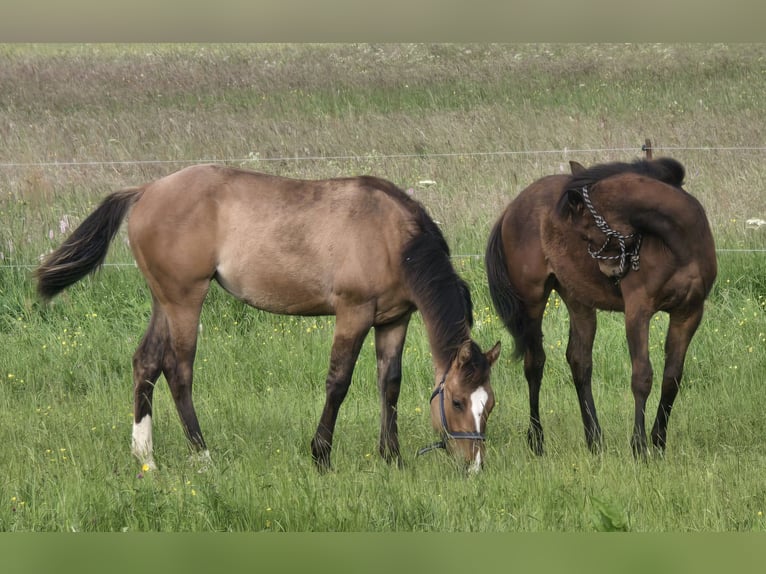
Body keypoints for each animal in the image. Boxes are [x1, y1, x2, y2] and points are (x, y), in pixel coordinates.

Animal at [37, 164, 504, 474]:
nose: (474, 466)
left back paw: (146, 456)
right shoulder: (353, 313)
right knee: (177, 369)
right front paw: (321, 455)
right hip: (186, 299)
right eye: (457, 402)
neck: (393, 238)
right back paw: (203, 455)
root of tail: (146, 189)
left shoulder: (393, 320)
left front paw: (392, 458)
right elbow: (339, 382)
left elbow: (389, 384)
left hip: (163, 300)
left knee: (146, 362)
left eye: (490, 404)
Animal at [486, 159, 720, 460]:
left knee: (579, 362)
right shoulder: (638, 310)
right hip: (532, 300)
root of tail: (511, 208)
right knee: (534, 364)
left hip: (577, 299)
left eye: (585, 233)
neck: (678, 243)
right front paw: (639, 447)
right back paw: (537, 441)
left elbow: (672, 378)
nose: (612, 272)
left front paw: (658, 443)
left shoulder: (688, 313)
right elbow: (642, 376)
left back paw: (594, 440)